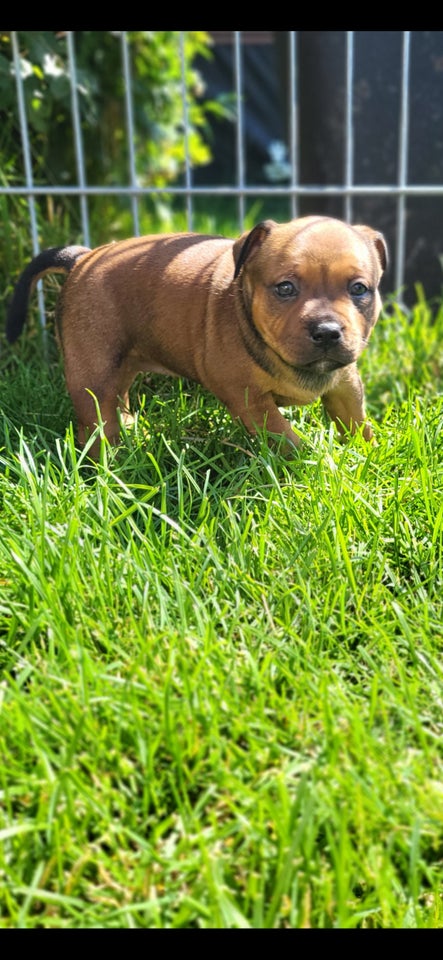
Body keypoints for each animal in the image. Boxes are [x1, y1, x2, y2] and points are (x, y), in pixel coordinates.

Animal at [5, 216, 386, 456]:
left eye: (359, 289)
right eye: (285, 288)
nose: (327, 332)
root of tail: (82, 259)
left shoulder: (345, 383)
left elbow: (356, 423)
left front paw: (368, 454)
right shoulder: (250, 400)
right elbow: (288, 439)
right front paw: (319, 465)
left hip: (121, 361)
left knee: (118, 398)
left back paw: (130, 432)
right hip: (92, 371)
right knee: (96, 421)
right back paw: (110, 462)